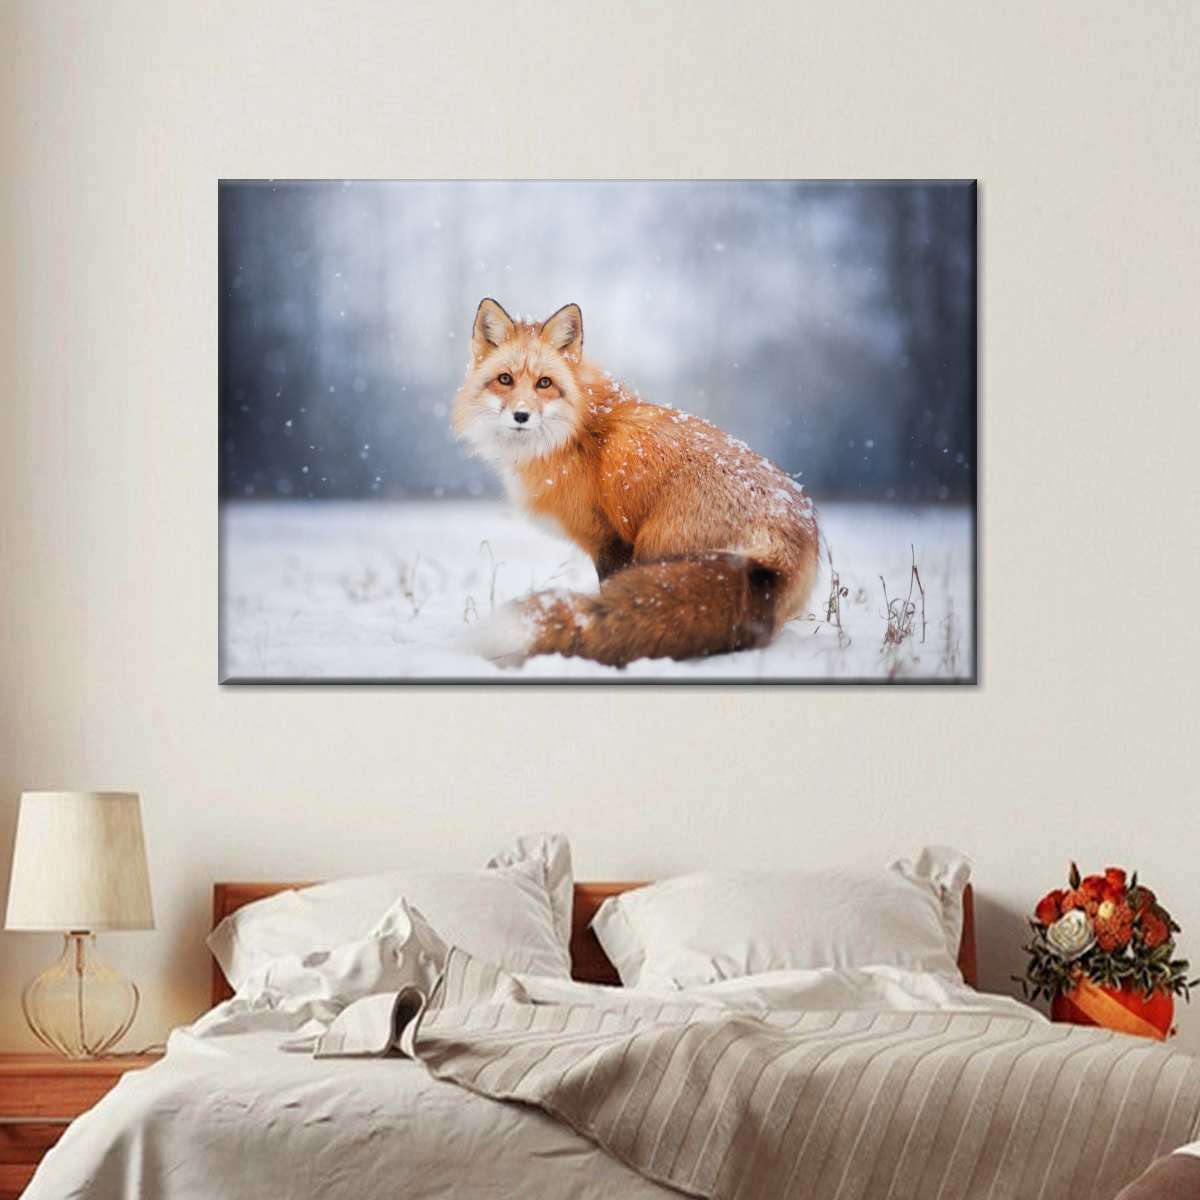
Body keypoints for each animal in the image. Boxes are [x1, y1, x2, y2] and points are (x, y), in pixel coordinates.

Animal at [452, 298, 819, 667]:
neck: (578, 433)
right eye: (505, 379)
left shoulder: (610, 539)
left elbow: (606, 594)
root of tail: (783, 550)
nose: (521, 415)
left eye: (544, 383)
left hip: (654, 547)